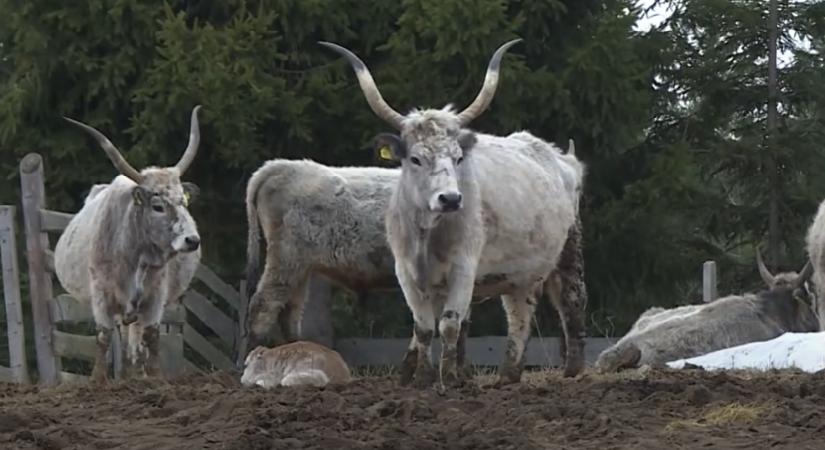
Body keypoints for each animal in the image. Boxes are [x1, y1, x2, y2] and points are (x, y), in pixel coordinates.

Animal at [54, 105, 204, 380]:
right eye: (157, 206)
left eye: (183, 202)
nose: (192, 240)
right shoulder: (101, 295)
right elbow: (103, 337)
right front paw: (97, 379)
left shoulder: (155, 296)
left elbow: (152, 336)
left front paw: (153, 377)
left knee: (134, 340)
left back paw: (134, 374)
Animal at [322, 39, 584, 386]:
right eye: (416, 159)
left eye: (458, 158)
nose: (450, 199)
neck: (428, 233)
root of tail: (561, 156)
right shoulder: (406, 272)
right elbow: (423, 327)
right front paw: (422, 377)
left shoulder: (464, 268)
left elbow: (448, 324)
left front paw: (449, 378)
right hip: (520, 272)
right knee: (519, 311)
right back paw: (508, 373)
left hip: (570, 251)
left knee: (571, 300)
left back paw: (572, 370)